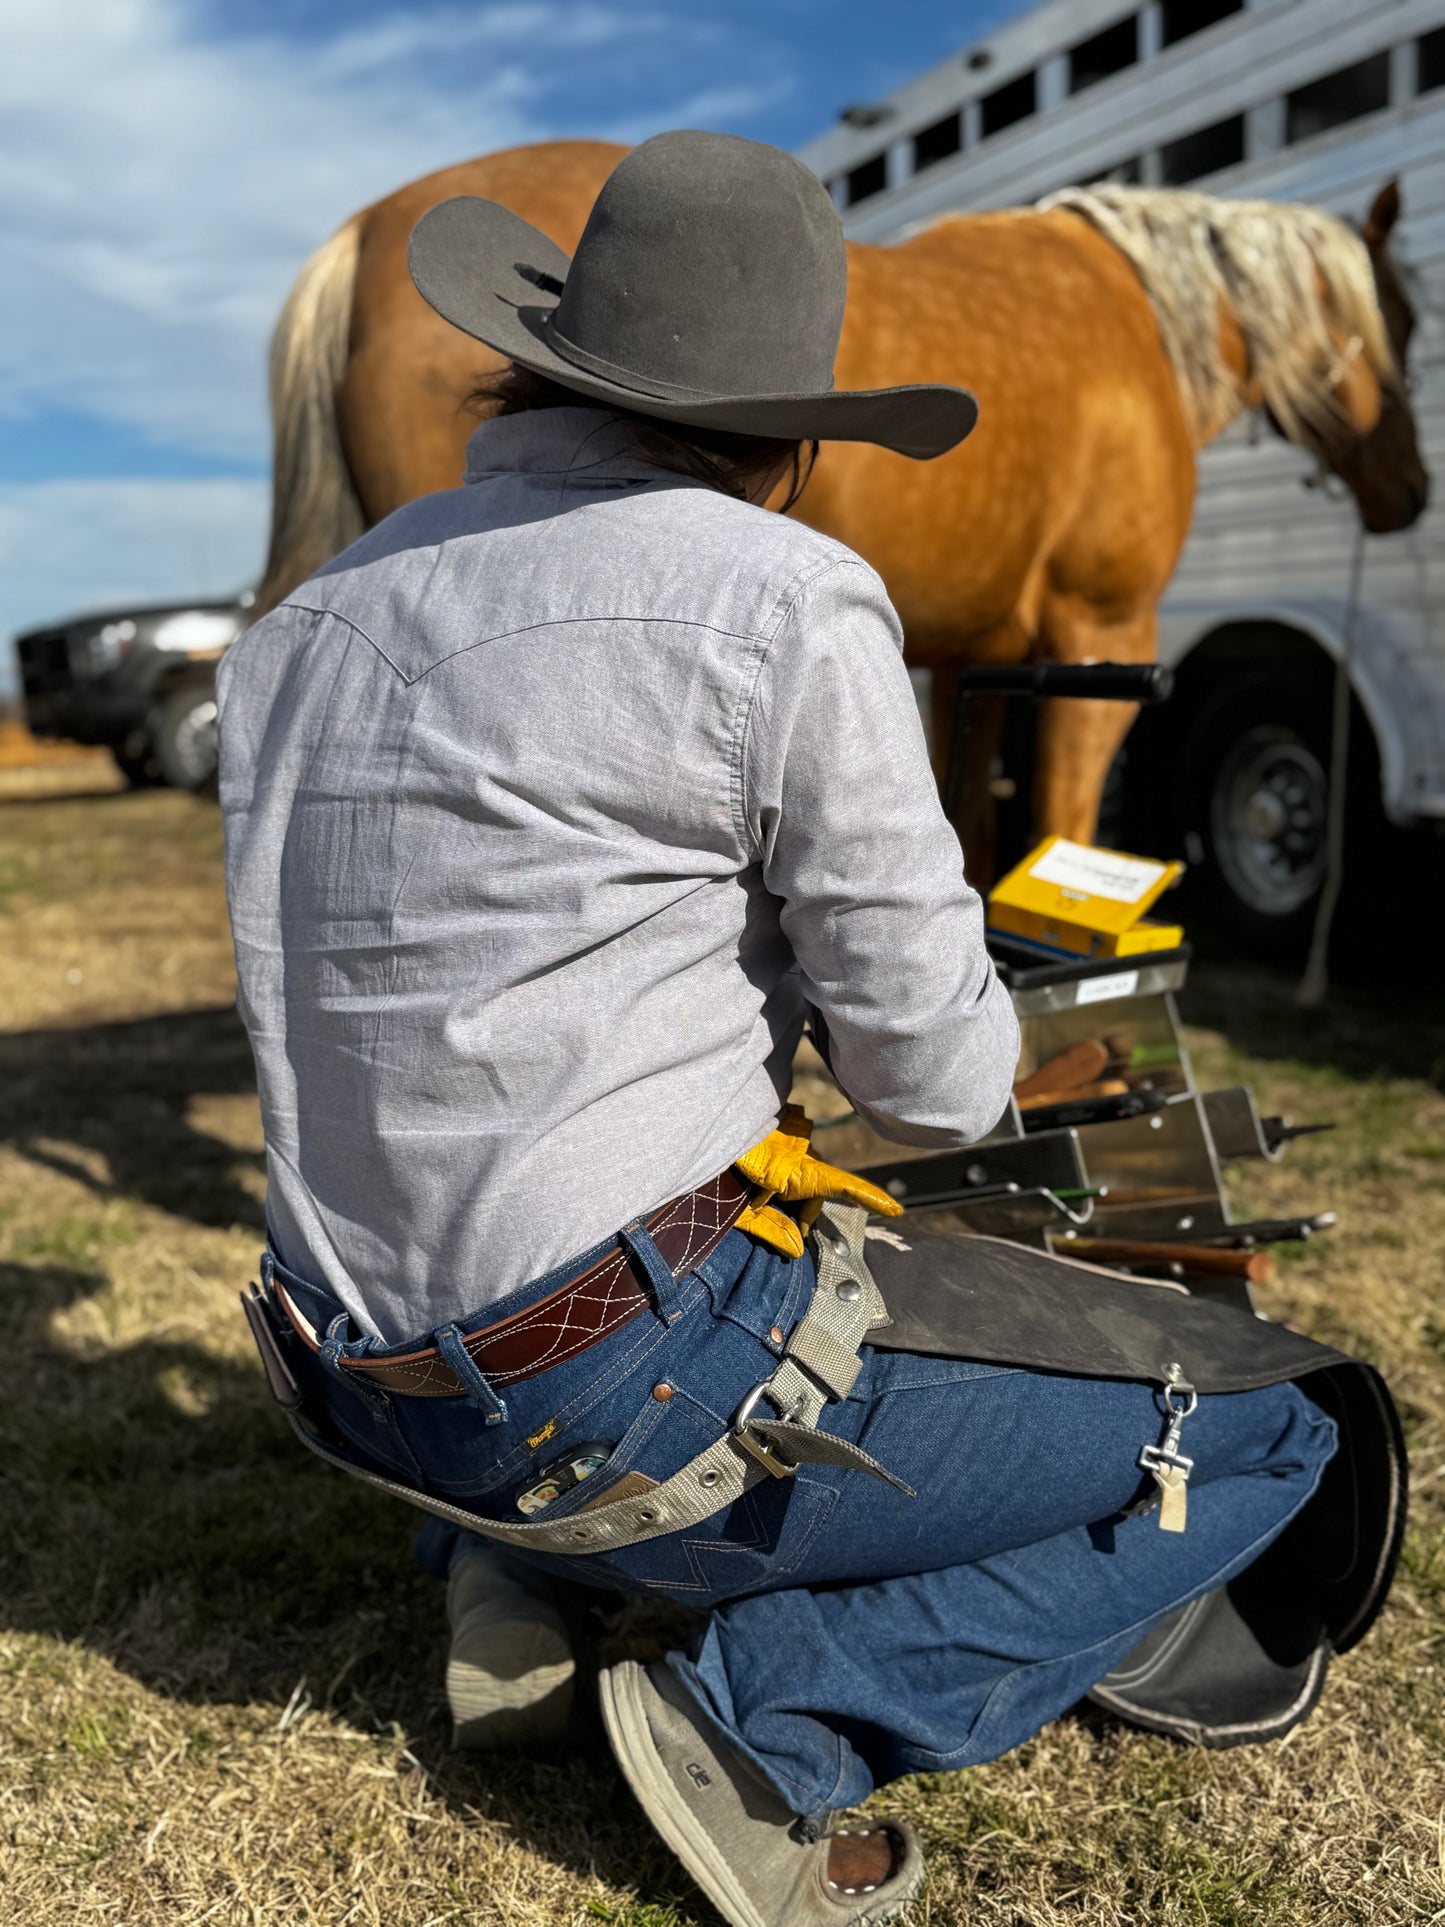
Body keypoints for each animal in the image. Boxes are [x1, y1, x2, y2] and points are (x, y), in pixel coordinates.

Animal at [258, 146, 1425, 878]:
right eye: (1405, 318)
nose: (1411, 492)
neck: (1141, 325)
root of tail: (365, 232)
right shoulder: (1102, 632)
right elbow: (1057, 826)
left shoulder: (970, 661)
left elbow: (975, 837)